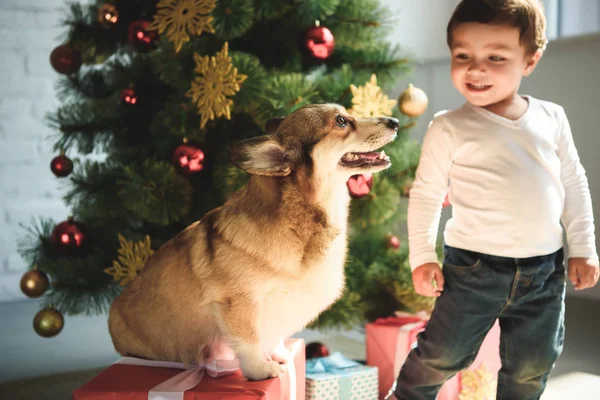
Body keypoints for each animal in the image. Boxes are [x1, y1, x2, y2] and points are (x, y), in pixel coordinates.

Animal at [108, 103, 398, 378]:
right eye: (340, 121)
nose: (395, 121)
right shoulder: (239, 304)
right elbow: (249, 342)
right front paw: (260, 370)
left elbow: (273, 336)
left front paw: (281, 355)